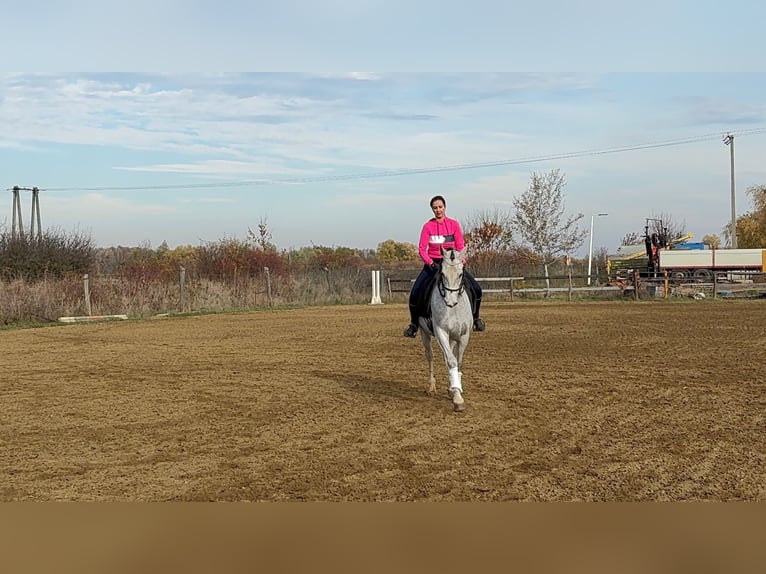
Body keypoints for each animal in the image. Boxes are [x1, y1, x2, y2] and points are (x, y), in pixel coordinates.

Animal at [418, 246, 472, 412]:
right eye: (442, 274)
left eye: (460, 274)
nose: (450, 301)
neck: (453, 309)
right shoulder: (441, 332)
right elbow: (452, 362)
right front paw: (457, 399)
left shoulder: (464, 335)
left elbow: (458, 361)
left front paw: (455, 390)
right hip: (424, 333)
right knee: (430, 356)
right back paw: (431, 387)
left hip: (453, 337)